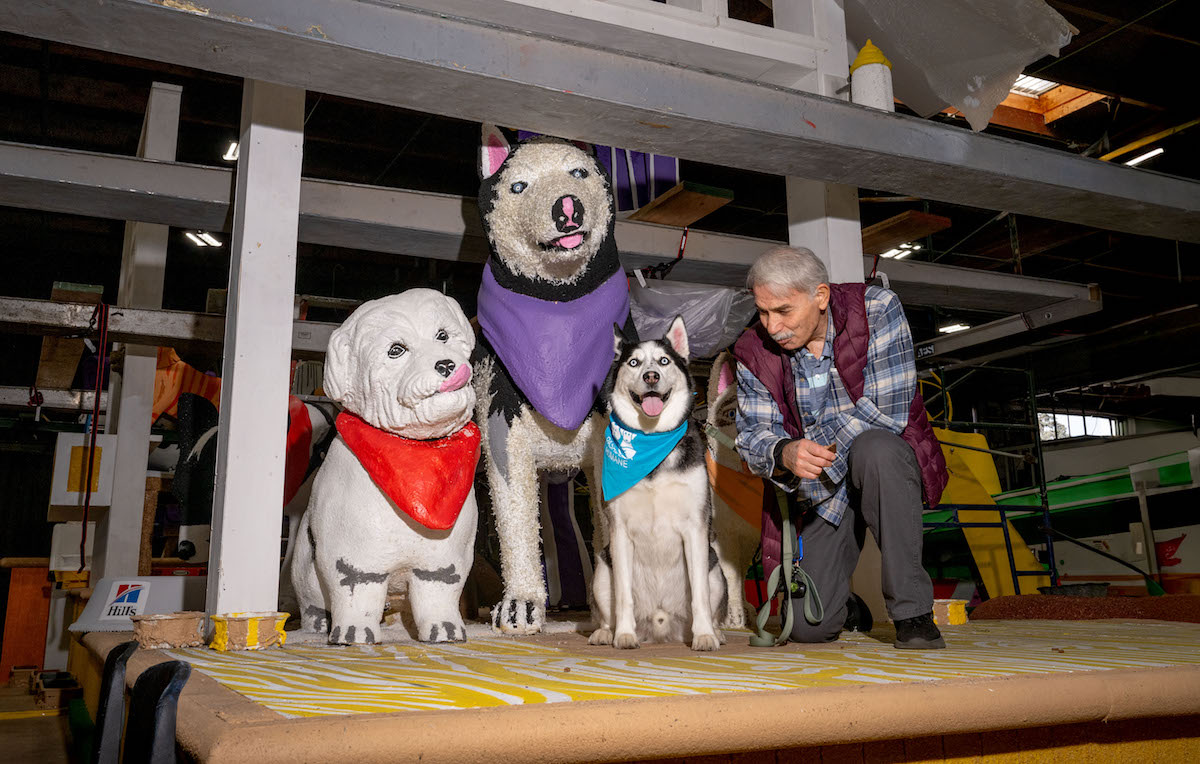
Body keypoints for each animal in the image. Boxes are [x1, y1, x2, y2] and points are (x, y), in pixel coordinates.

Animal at [588, 316, 724, 647]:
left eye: (664, 361)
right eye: (634, 362)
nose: (651, 376)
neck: (651, 444)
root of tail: (662, 625)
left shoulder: (695, 529)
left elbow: (699, 595)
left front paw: (704, 635)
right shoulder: (620, 532)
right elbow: (623, 595)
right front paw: (624, 634)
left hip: (715, 567)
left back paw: (714, 631)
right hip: (602, 568)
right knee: (607, 607)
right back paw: (606, 631)